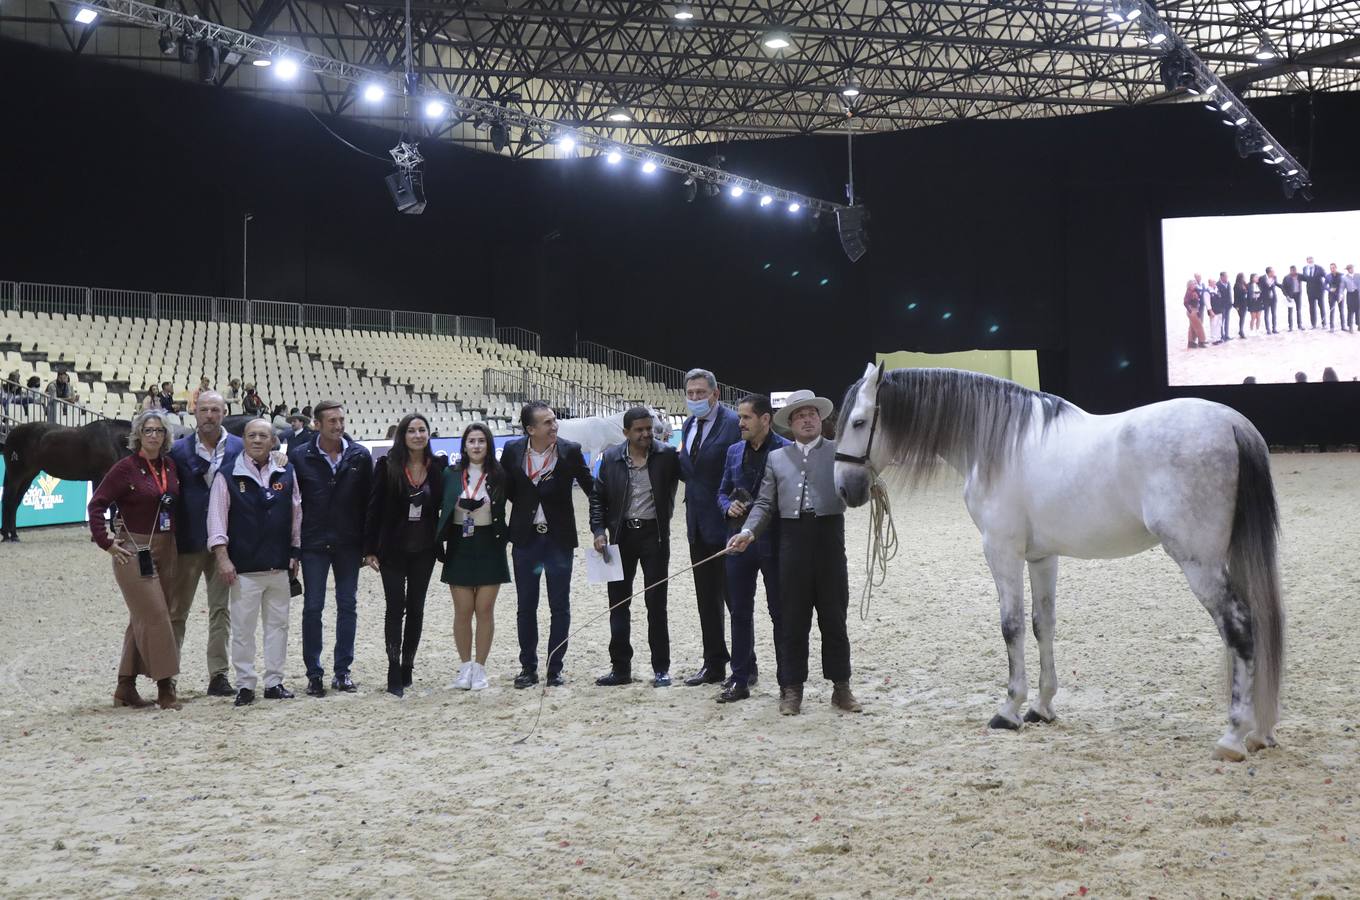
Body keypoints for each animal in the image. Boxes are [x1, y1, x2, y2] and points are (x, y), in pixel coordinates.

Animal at [1, 421, 131, 543]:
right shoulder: (100, 477)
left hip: (28, 476)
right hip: (16, 476)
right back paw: (9, 536)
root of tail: (11, 434)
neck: (112, 439)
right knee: (9, 501)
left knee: (15, 503)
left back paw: (12, 534)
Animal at [826, 361, 1283, 761]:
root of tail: (1232, 424)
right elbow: (1041, 624)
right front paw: (1042, 708)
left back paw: (1233, 736)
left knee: (1239, 629)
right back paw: (1260, 731)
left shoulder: (1001, 551)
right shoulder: (1042, 557)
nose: (845, 490)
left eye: (860, 422)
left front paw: (1009, 709)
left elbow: (1010, 626)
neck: (997, 443)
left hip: (1199, 562)